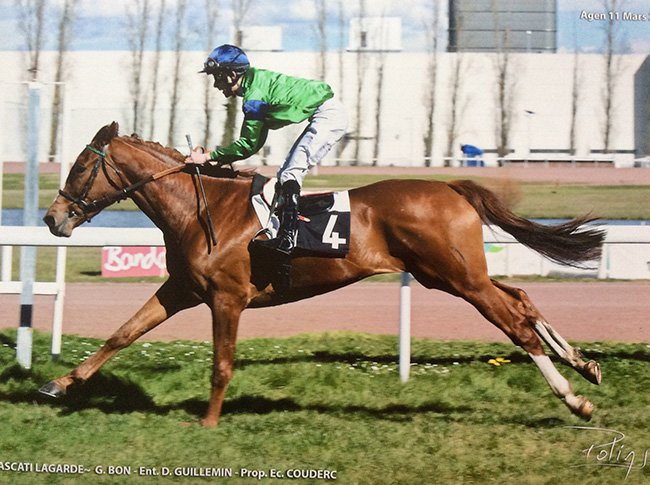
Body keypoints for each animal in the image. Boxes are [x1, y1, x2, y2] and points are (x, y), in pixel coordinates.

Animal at [41, 122, 605, 427]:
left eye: (78, 169)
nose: (51, 218)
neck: (202, 211)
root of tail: (450, 186)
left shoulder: (226, 298)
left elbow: (221, 364)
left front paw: (208, 420)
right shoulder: (181, 289)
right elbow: (121, 334)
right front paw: (59, 383)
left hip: (458, 278)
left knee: (514, 323)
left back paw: (574, 398)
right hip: (449, 274)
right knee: (521, 298)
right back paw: (583, 364)